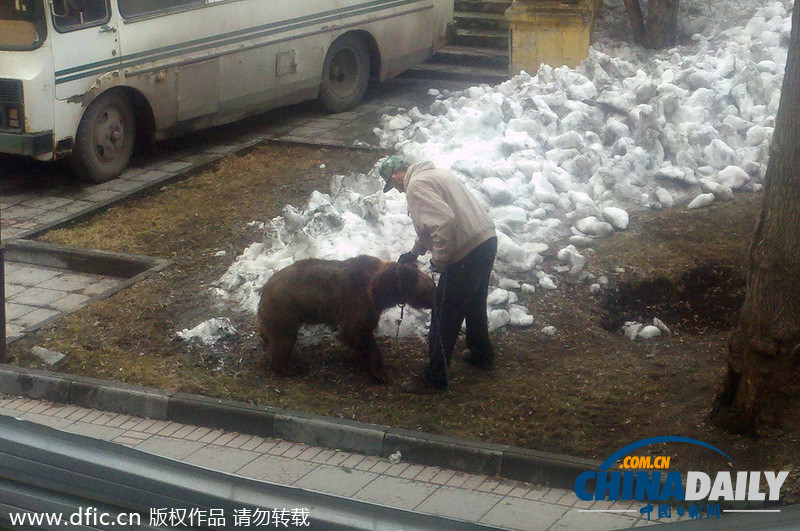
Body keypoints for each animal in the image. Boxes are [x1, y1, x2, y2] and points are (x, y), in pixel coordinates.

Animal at [256, 255, 435, 383]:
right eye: (431, 288)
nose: (434, 302)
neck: (382, 291)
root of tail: (265, 287)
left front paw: (360, 358)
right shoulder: (359, 299)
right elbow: (354, 330)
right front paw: (380, 372)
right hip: (285, 309)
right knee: (283, 339)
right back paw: (291, 367)